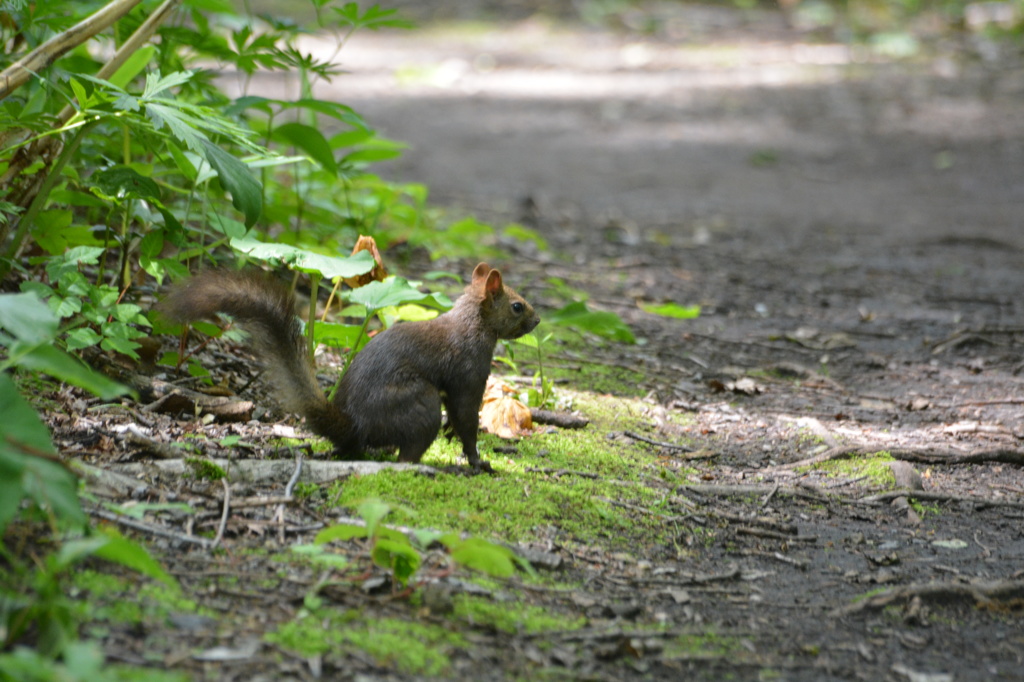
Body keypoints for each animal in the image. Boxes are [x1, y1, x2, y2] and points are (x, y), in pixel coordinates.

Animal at [159, 260, 540, 466]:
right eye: (517, 306)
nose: (537, 320)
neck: (471, 323)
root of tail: (352, 425)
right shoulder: (468, 372)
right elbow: (466, 418)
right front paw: (477, 461)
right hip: (419, 403)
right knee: (406, 455)